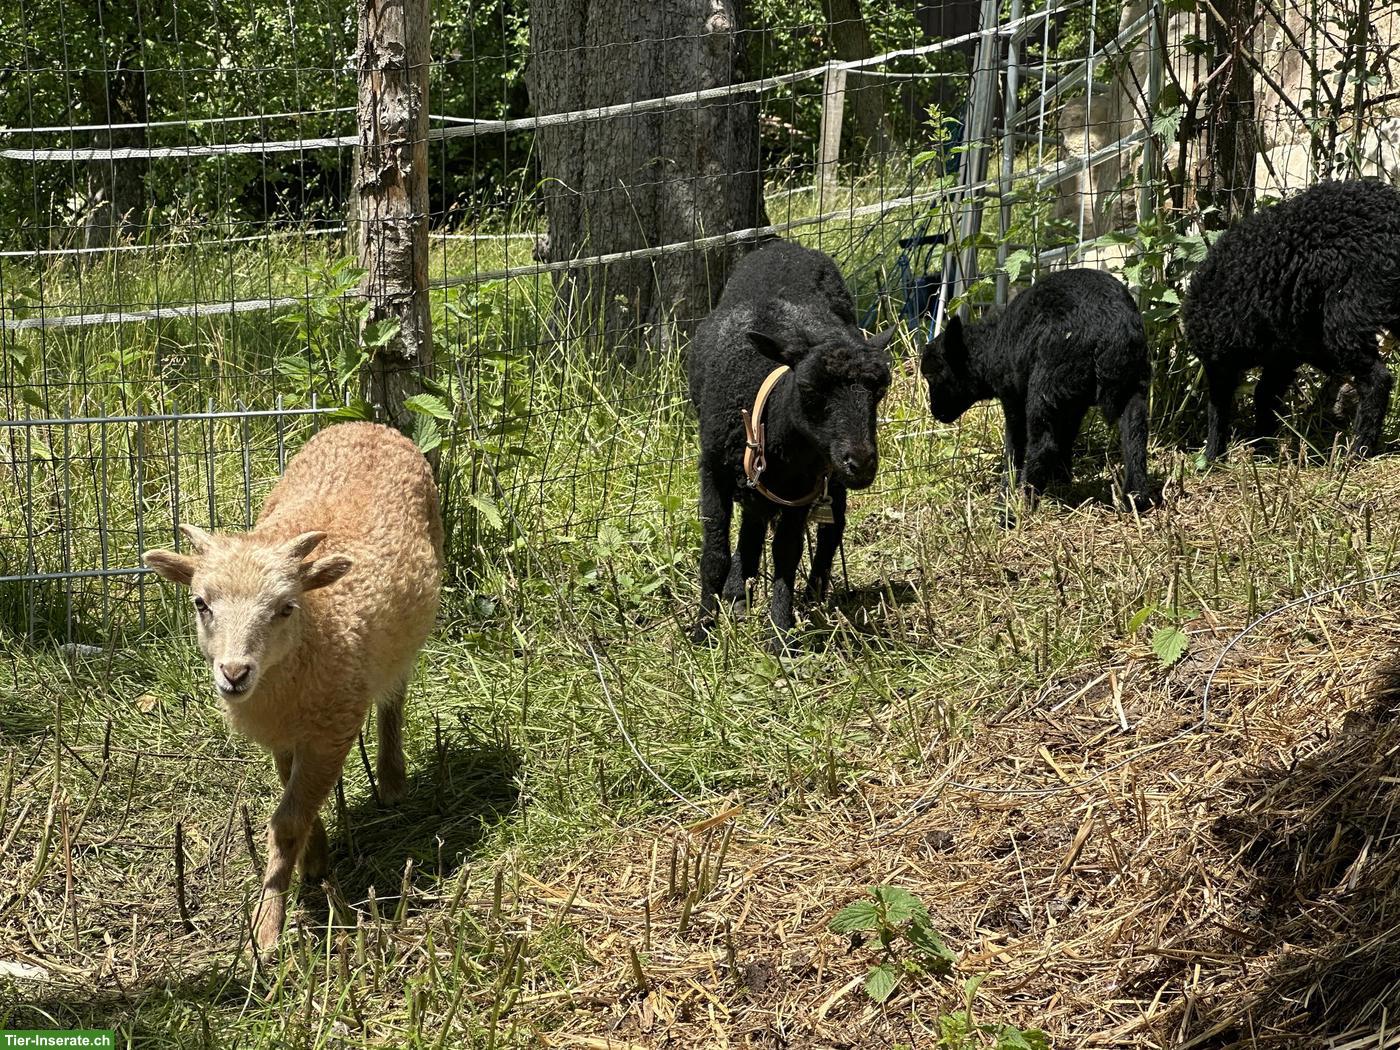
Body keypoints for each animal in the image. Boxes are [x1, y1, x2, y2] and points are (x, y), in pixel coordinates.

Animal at [142, 421, 442, 949]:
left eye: (285, 607)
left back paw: (391, 780)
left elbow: (285, 824)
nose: (234, 673)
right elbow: (297, 806)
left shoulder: (330, 730)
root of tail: (368, 425)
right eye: (201, 603)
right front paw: (315, 861)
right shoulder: (283, 737)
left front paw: (267, 927)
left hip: (408, 634)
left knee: (395, 696)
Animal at [687, 239, 896, 648]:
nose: (862, 463)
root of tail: (787, 245)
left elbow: (787, 552)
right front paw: (704, 630)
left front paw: (781, 635)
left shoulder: (803, 485)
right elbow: (714, 554)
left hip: (828, 476)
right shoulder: (713, 468)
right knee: (753, 519)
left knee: (833, 523)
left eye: (879, 391)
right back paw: (737, 594)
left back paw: (813, 593)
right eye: (808, 389)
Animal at [920, 267, 1153, 506]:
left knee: (1043, 445)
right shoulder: (1074, 405)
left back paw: (1019, 504)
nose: (936, 413)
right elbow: (1067, 438)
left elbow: (1015, 447)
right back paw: (1136, 498)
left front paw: (1006, 492)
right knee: (1135, 434)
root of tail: (1110, 328)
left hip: (1046, 387)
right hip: (1131, 384)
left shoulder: (1012, 397)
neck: (991, 347)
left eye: (931, 374)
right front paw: (1062, 480)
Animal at [1183, 177, 1400, 460]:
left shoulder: (1282, 348)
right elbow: (1258, 395)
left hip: (1346, 313)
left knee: (1377, 379)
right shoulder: (1284, 351)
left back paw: (1358, 450)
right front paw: (1258, 448)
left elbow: (1256, 396)